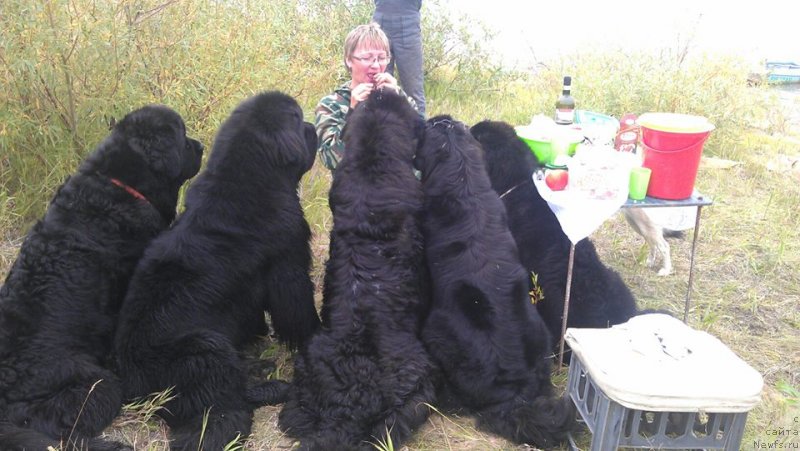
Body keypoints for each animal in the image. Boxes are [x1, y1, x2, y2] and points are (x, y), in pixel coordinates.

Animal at [114, 90, 320, 450]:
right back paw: (273, 385)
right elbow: (301, 312)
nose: (312, 127)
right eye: (297, 119)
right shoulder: (288, 269)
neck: (253, 180)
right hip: (206, 346)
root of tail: (133, 388)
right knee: (227, 404)